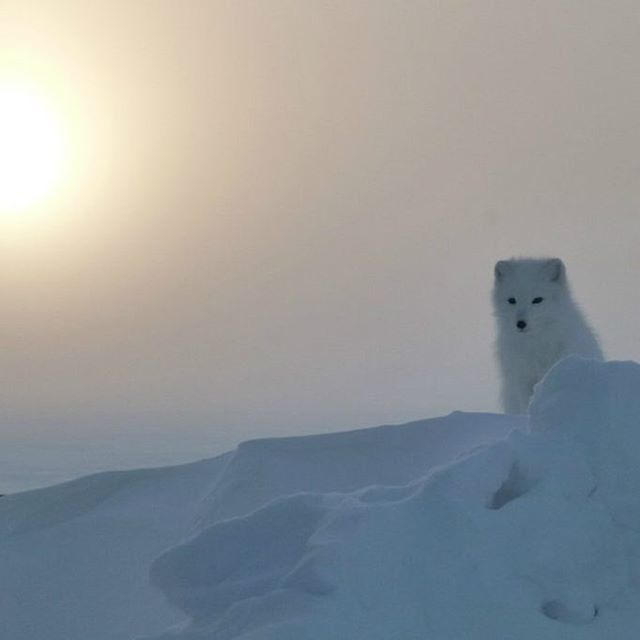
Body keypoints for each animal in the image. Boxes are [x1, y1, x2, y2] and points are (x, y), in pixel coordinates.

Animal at [492, 258, 604, 416]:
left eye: (537, 300)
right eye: (512, 300)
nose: (520, 323)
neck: (535, 343)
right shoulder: (522, 377)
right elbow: (525, 404)